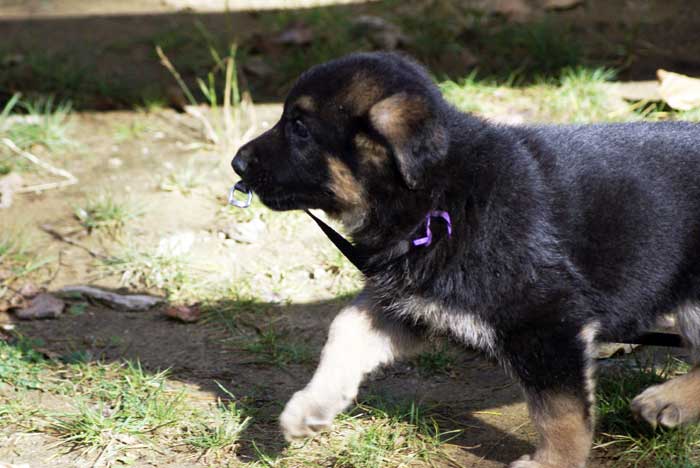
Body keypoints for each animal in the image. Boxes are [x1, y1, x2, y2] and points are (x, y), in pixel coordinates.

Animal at [232, 53, 700, 466]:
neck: (440, 197)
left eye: (299, 128)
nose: (236, 162)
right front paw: (311, 405)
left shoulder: (547, 322)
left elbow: (560, 410)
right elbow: (344, 329)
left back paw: (667, 397)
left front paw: (554, 462)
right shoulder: (413, 302)